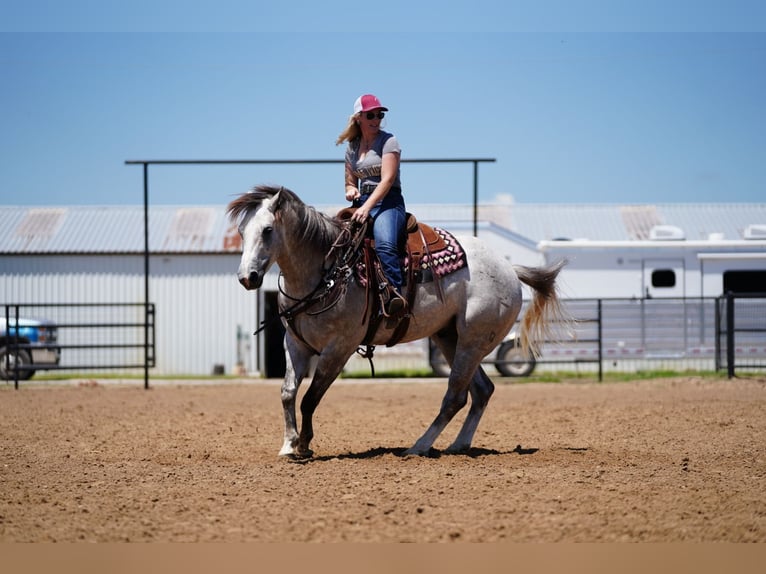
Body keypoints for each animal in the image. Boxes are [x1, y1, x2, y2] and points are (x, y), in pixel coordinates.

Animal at [225, 187, 568, 462]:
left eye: (267, 230)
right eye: (242, 231)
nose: (247, 277)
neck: (326, 273)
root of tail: (510, 269)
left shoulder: (339, 349)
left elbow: (310, 397)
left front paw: (305, 444)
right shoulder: (295, 344)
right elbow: (287, 392)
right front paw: (288, 444)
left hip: (473, 341)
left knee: (454, 396)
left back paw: (418, 447)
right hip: (449, 337)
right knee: (482, 391)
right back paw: (458, 445)